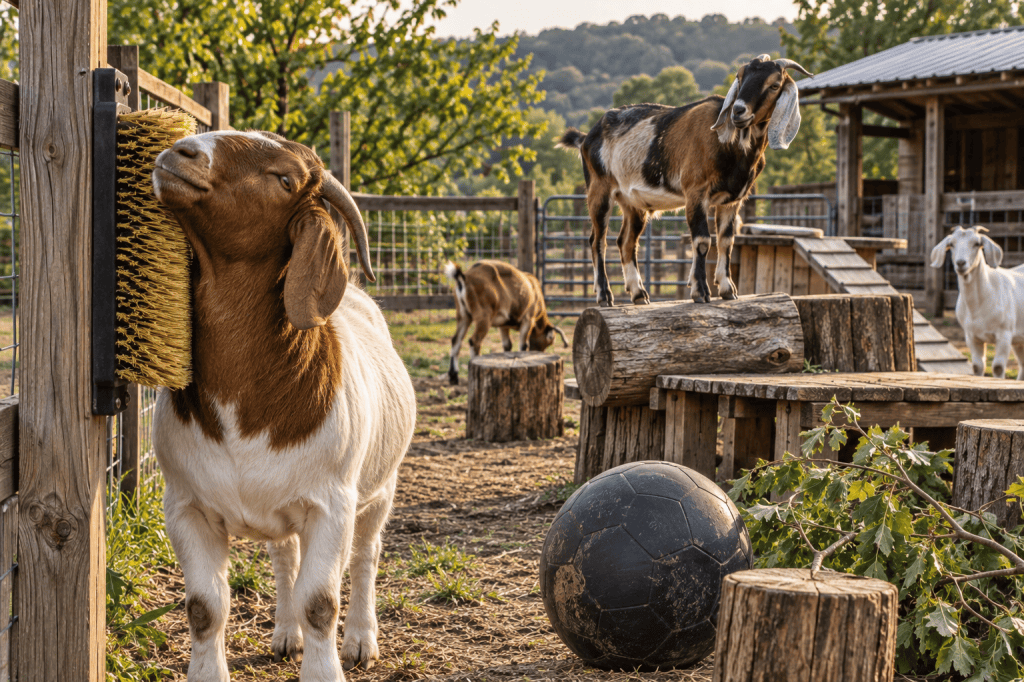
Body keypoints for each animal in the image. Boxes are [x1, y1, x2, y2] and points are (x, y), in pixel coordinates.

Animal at [151, 130, 417, 681]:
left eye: (286, 179)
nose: (181, 151)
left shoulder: (331, 505)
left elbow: (320, 602)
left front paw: (327, 667)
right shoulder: (185, 505)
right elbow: (204, 608)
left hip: (380, 489)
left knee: (366, 556)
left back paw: (361, 640)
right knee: (285, 558)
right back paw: (286, 633)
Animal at [557, 55, 812, 306]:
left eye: (774, 85)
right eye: (740, 77)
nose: (738, 111)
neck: (728, 144)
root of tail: (586, 138)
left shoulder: (732, 200)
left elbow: (726, 241)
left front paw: (728, 290)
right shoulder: (696, 192)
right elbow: (702, 241)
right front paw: (701, 292)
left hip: (632, 203)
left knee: (626, 242)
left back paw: (639, 294)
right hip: (599, 190)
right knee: (597, 241)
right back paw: (604, 295)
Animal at [930, 225, 1024, 379]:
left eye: (976, 243)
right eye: (952, 244)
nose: (961, 263)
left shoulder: (1004, 334)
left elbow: (998, 367)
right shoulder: (972, 336)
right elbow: (977, 367)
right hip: (1019, 340)